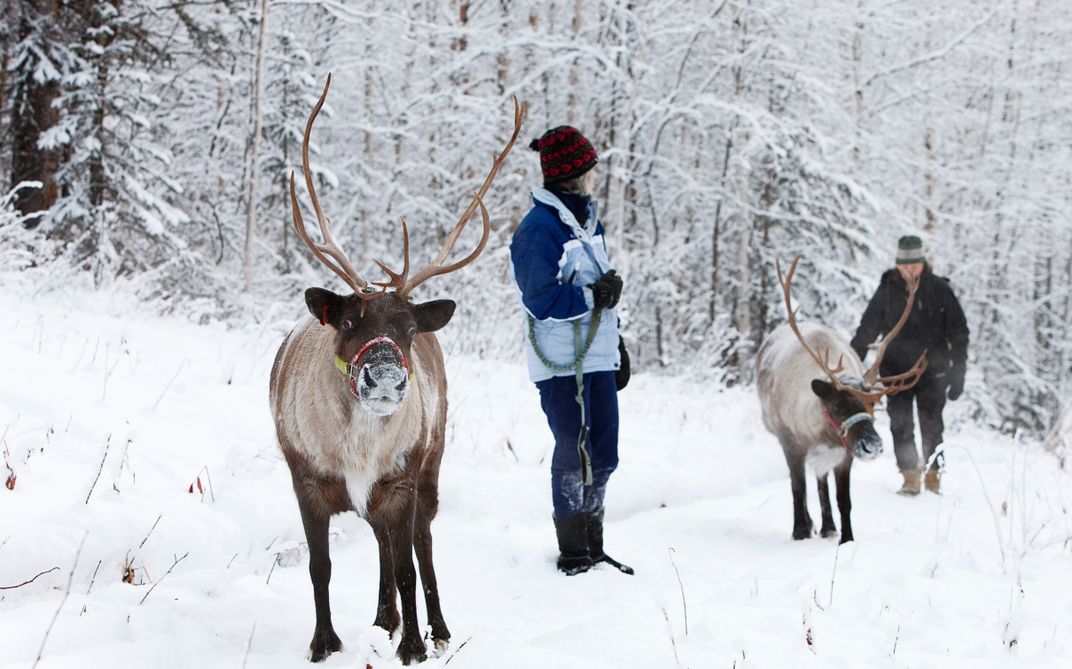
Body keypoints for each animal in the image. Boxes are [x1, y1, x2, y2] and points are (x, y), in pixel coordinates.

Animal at [269, 74, 524, 664]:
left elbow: (409, 564)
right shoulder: (307, 479)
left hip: (432, 461)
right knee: (383, 546)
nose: (385, 377)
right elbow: (321, 567)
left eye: (407, 329)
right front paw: (324, 642)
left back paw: (435, 627)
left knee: (420, 544)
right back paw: (383, 619)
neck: (358, 450)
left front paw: (415, 645)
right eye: (348, 320)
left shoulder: (401, 479)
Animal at [756, 256, 927, 544]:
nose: (873, 446)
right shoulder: (792, 442)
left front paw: (847, 539)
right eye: (837, 406)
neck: (822, 431)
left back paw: (827, 527)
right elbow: (797, 488)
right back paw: (811, 524)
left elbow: (843, 499)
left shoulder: (845, 453)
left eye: (873, 405)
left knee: (821, 481)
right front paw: (800, 531)